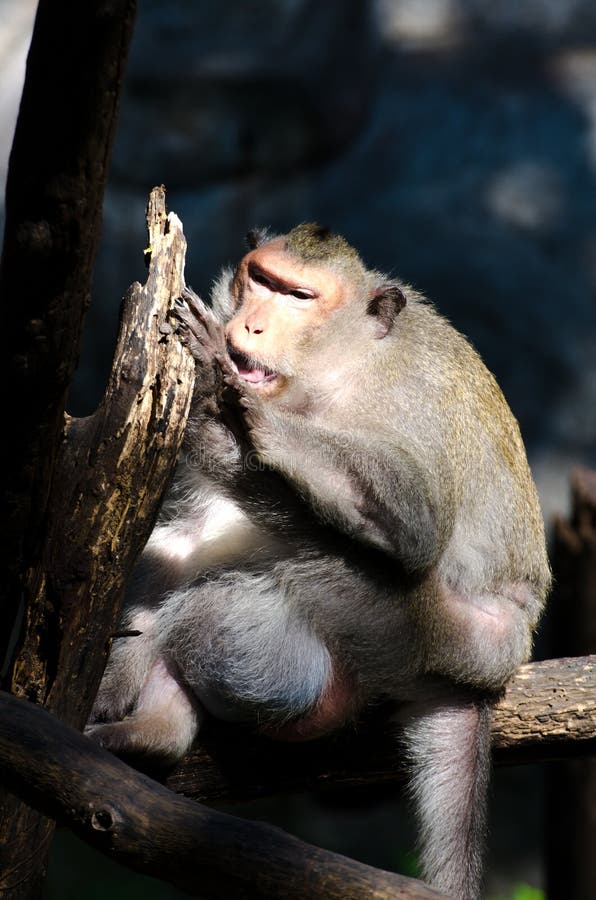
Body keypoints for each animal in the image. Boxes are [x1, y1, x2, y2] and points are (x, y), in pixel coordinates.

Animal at [88, 223, 551, 900]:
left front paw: (217, 387)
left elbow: (413, 526)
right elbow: (190, 529)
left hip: (431, 633)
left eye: (300, 296)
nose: (250, 325)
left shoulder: (407, 400)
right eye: (261, 280)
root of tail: (489, 675)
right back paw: (150, 725)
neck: (335, 374)